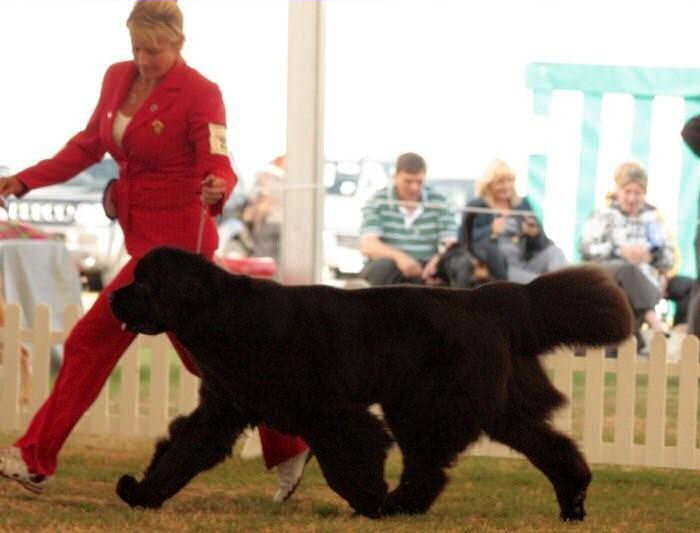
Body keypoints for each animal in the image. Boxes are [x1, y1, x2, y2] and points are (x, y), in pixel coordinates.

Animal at [109, 246, 636, 520]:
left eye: (143, 282)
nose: (112, 297)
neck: (223, 316)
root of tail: (486, 300)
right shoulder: (221, 409)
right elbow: (181, 453)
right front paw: (144, 493)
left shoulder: (330, 412)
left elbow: (347, 462)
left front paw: (366, 500)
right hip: (492, 407)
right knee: (551, 447)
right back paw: (572, 502)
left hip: (425, 404)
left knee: (429, 467)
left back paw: (396, 505)